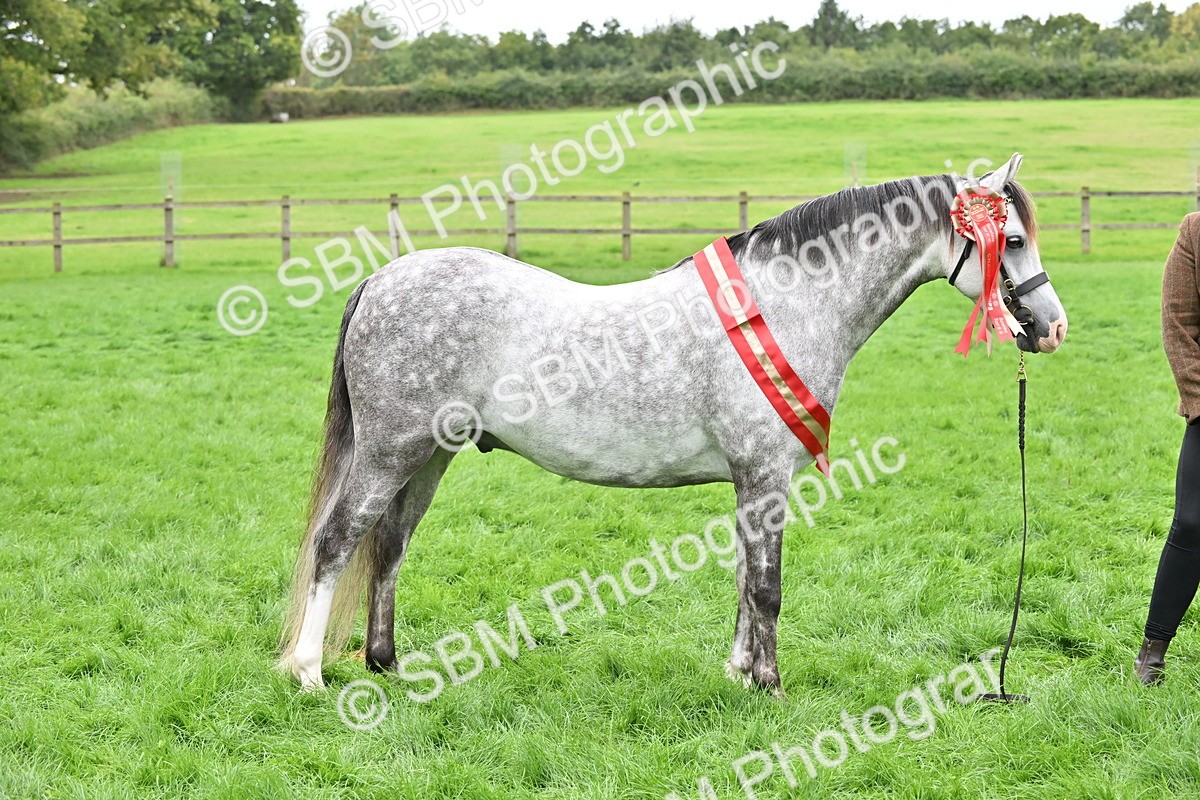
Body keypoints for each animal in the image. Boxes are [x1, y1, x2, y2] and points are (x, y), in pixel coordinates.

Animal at [280, 153, 1068, 695]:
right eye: (1013, 241)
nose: (1053, 328)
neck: (786, 304)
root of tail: (380, 280)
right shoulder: (765, 476)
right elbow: (767, 586)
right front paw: (771, 687)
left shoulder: (752, 483)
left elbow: (745, 579)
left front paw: (738, 673)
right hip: (390, 451)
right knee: (337, 541)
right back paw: (311, 672)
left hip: (430, 456)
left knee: (388, 546)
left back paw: (386, 666)